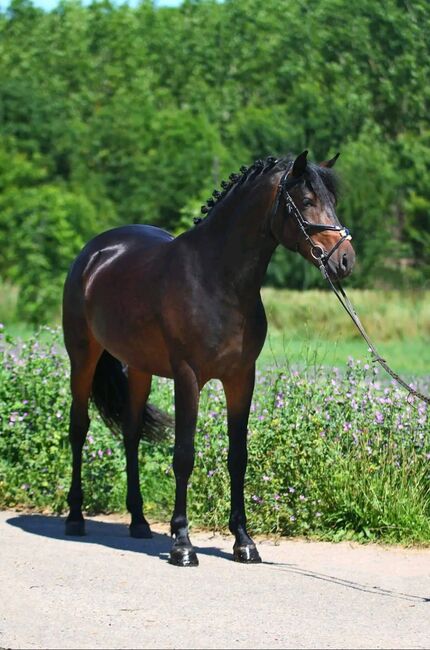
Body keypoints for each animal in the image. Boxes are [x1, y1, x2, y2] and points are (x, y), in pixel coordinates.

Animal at [62, 149, 354, 564]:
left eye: (333, 201)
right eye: (307, 200)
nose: (345, 260)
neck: (217, 280)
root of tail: (94, 253)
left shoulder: (241, 377)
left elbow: (238, 456)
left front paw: (244, 542)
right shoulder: (188, 376)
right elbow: (184, 454)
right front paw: (182, 544)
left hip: (139, 368)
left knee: (132, 435)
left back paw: (138, 522)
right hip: (83, 356)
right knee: (79, 428)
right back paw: (75, 517)